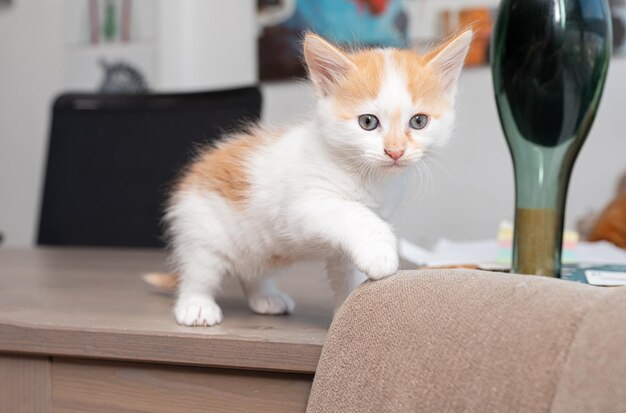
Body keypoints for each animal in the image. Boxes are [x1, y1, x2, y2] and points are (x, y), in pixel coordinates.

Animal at [158, 30, 470, 326]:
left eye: (419, 121)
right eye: (368, 122)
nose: (395, 151)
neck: (365, 175)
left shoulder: (346, 241)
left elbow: (347, 269)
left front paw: (349, 310)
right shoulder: (303, 205)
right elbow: (355, 214)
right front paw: (381, 253)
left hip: (260, 248)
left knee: (250, 269)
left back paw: (265, 298)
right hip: (202, 228)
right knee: (200, 270)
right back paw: (196, 306)